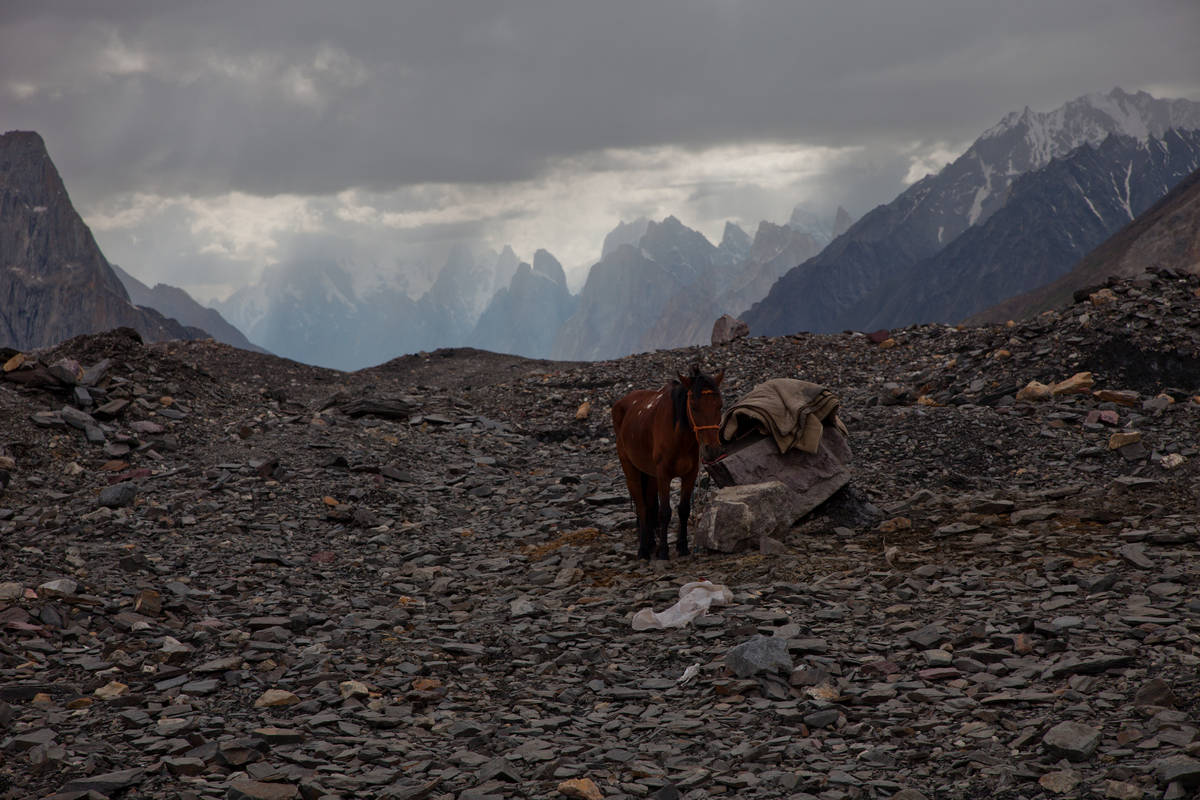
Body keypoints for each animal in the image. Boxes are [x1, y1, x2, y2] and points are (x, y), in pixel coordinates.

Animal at [609, 367, 720, 561]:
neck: (679, 437)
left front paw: (682, 546)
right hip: (631, 470)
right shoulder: (664, 476)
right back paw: (644, 549)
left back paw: (651, 542)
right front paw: (663, 551)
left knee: (649, 504)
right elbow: (665, 512)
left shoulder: (690, 475)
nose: (712, 449)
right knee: (642, 507)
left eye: (720, 405)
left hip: (650, 475)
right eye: (694, 406)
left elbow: (683, 509)